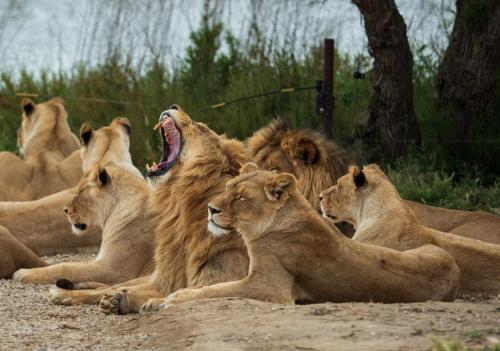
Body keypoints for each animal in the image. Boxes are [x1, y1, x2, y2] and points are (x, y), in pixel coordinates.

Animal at [48, 105, 252, 314]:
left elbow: (190, 294)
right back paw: (65, 293)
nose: (174, 106)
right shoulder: (165, 278)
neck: (182, 207)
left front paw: (148, 302)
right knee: (108, 288)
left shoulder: (220, 278)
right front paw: (123, 299)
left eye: (200, 126)